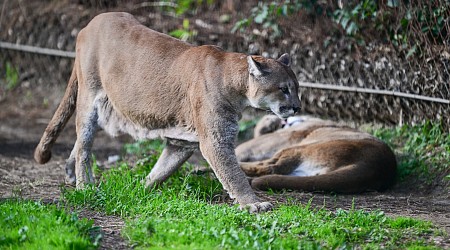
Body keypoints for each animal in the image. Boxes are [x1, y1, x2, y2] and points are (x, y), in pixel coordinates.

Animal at [33, 12, 300, 213]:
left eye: (297, 88)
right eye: (284, 89)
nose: (298, 107)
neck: (235, 83)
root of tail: (88, 25)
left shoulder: (182, 141)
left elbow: (161, 171)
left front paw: (139, 190)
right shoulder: (215, 140)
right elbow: (234, 174)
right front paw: (254, 204)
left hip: (107, 110)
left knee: (79, 142)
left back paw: (71, 174)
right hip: (90, 98)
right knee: (84, 145)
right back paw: (84, 186)